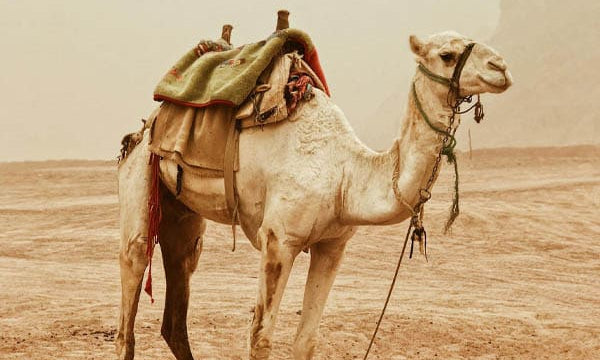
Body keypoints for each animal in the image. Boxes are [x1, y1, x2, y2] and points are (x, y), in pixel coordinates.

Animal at [116, 31, 510, 360]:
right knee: (132, 281)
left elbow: (306, 340)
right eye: (446, 55)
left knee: (180, 280)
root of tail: (145, 125)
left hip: (181, 212)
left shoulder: (332, 245)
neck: (345, 175)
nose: (501, 67)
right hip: (140, 174)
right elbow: (260, 338)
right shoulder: (279, 240)